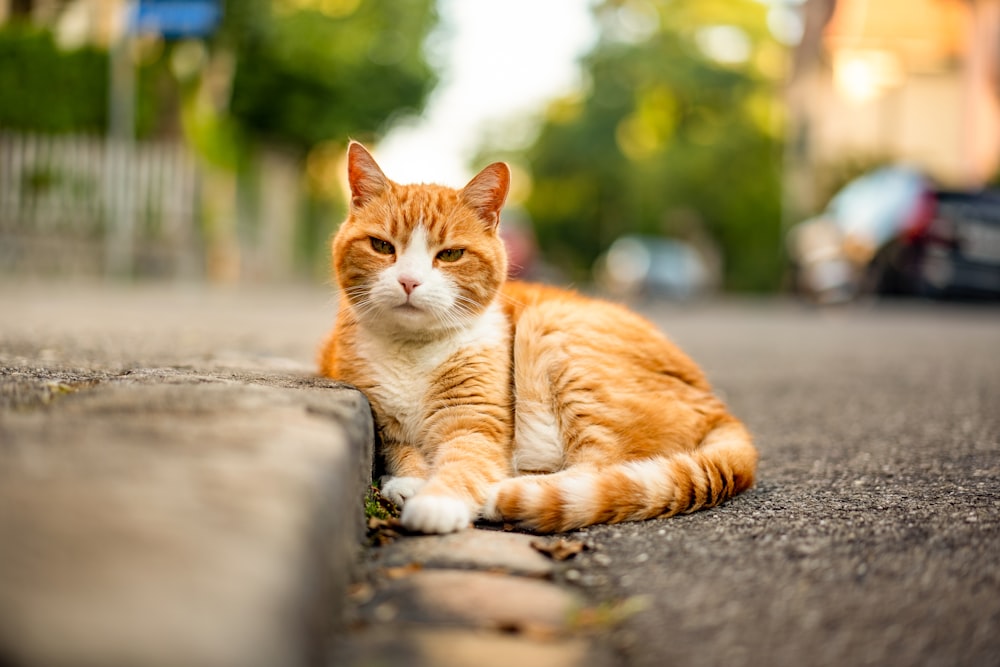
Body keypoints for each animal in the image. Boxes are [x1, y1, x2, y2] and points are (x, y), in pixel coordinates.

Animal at [320, 144, 756, 536]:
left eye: (451, 255)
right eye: (382, 246)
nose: (409, 282)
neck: (413, 351)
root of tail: (717, 403)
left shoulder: (478, 425)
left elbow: (464, 463)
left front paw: (436, 502)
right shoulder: (385, 426)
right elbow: (403, 453)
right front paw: (410, 482)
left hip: (555, 335)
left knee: (598, 468)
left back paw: (506, 491)